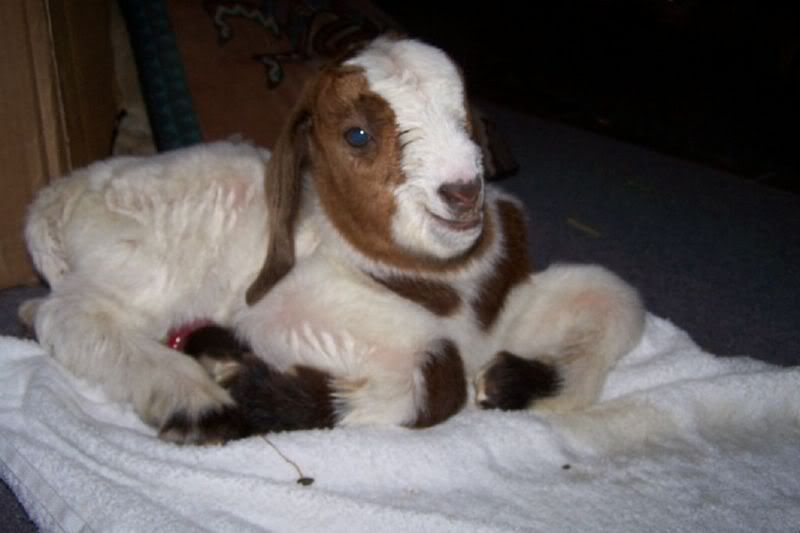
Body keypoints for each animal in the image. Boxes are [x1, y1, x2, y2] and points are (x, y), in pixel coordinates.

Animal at [21, 36, 645, 443]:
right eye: (358, 134)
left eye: (465, 116)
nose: (463, 192)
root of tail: (56, 196)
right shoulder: (286, 306)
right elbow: (438, 375)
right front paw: (243, 383)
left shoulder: (508, 298)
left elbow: (616, 301)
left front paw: (510, 382)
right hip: (143, 270)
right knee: (73, 317)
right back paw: (191, 398)